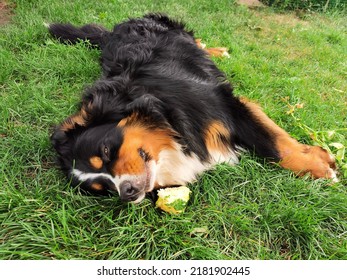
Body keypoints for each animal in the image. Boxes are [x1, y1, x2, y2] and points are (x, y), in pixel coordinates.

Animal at [49, 13, 338, 203]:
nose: (127, 193)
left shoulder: (223, 102)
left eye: (106, 150)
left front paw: (320, 166)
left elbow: (274, 145)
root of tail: (114, 30)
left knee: (198, 41)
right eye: (103, 188)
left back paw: (218, 51)